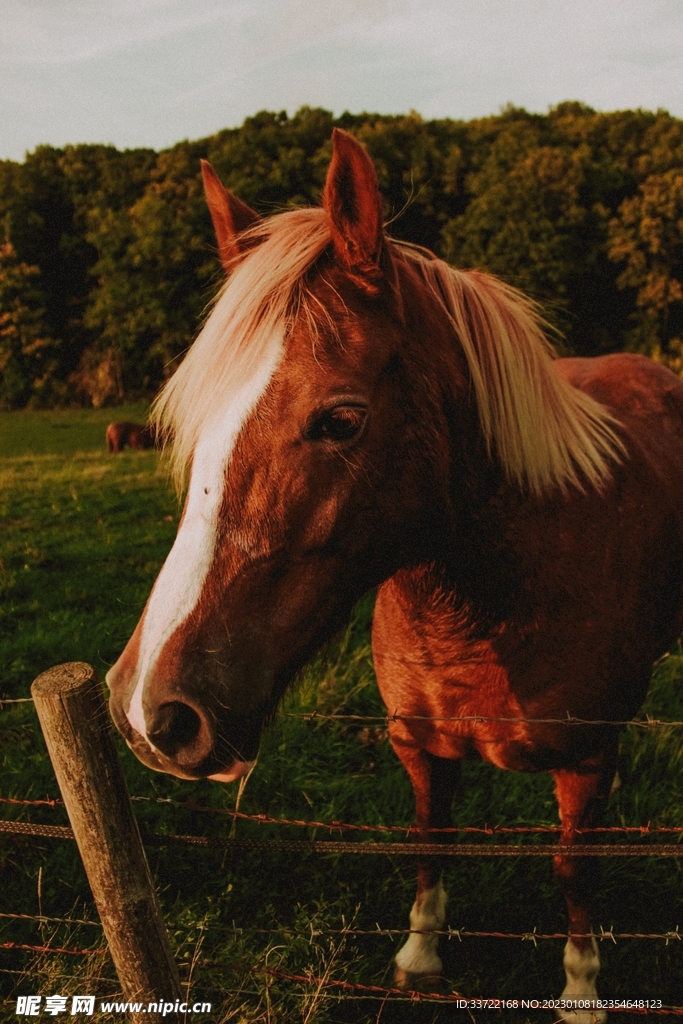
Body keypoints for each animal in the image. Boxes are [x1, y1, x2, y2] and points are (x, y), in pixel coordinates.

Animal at [106, 129, 683, 1017]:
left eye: (340, 420)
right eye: (191, 423)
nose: (150, 712)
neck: (482, 610)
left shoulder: (585, 762)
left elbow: (572, 870)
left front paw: (581, 989)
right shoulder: (415, 743)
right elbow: (427, 837)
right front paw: (419, 954)